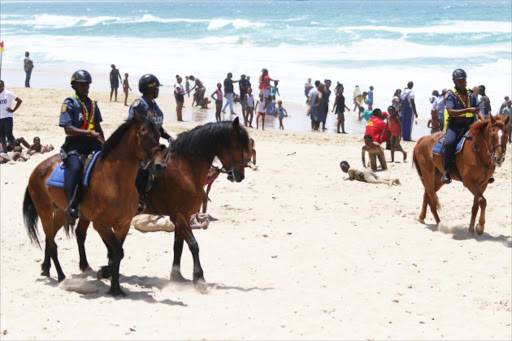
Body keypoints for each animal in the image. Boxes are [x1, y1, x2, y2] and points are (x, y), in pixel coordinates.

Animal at [23, 113, 165, 294]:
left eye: (159, 135)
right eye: (143, 134)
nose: (159, 165)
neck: (115, 180)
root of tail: (38, 168)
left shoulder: (123, 225)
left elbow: (117, 253)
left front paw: (115, 288)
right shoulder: (100, 224)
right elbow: (116, 252)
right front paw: (105, 274)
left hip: (60, 213)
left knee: (50, 239)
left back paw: (46, 268)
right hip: (44, 212)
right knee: (53, 244)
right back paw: (61, 277)